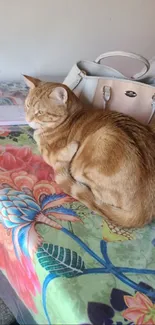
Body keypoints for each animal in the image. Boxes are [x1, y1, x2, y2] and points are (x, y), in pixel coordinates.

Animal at [23, 75, 155, 228]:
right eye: (27, 106)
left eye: (40, 112)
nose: (27, 119)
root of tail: (143, 213)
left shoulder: (51, 155)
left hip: (98, 144)